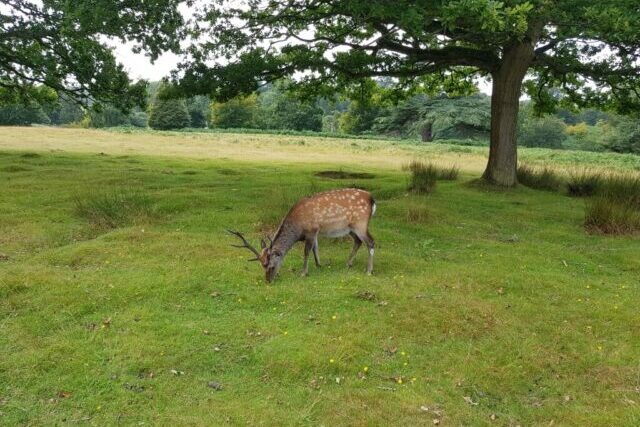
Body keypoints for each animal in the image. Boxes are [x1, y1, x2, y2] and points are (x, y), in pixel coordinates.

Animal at [228, 188, 376, 283]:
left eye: (272, 266)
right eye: (261, 266)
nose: (268, 280)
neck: (298, 228)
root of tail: (372, 200)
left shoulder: (311, 230)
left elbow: (306, 251)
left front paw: (304, 273)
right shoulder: (315, 232)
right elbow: (315, 248)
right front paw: (319, 265)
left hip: (360, 223)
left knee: (371, 242)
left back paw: (369, 270)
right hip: (351, 228)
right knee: (358, 241)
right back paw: (348, 263)